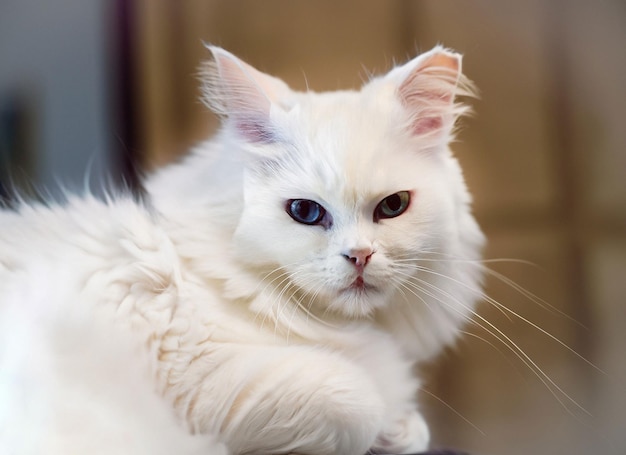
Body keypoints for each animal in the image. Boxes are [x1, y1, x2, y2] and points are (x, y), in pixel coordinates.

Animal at [0, 46, 482, 455]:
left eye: (393, 206)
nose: (359, 256)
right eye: (305, 212)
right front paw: (387, 428)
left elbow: (412, 424)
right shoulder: (204, 376)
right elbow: (360, 402)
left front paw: (401, 429)